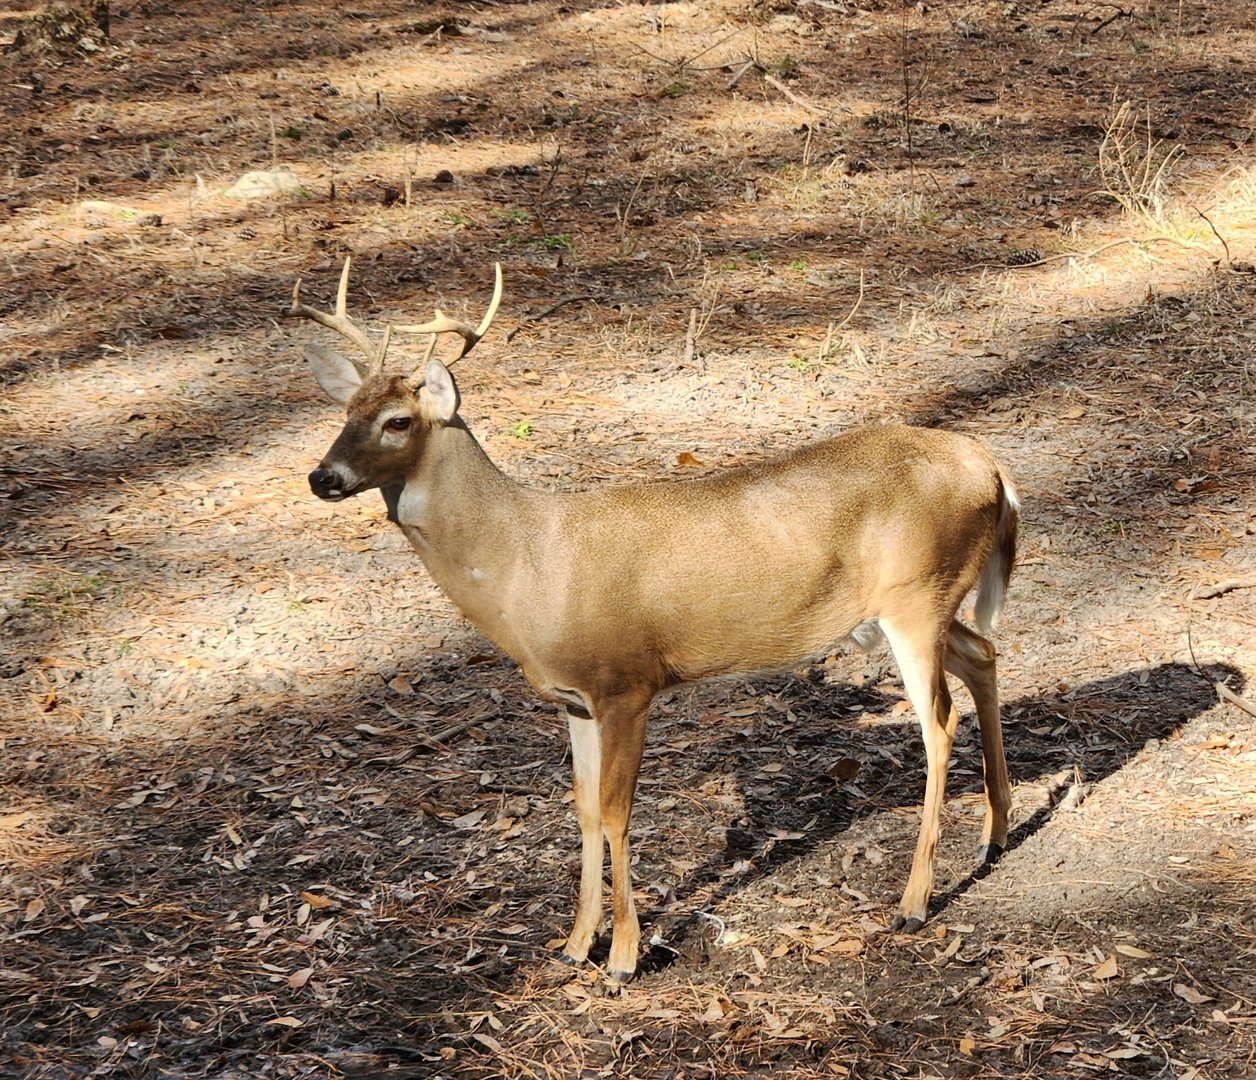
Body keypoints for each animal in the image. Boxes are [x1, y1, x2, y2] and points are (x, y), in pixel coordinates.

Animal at [287, 258, 1020, 983]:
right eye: (346, 411)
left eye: (398, 421)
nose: (322, 477)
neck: (525, 564)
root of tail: (993, 468)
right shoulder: (573, 698)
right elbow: (583, 810)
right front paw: (574, 943)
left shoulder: (627, 682)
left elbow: (617, 812)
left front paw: (624, 957)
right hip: (922, 602)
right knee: (984, 655)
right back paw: (993, 837)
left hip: (915, 597)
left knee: (939, 722)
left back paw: (914, 903)